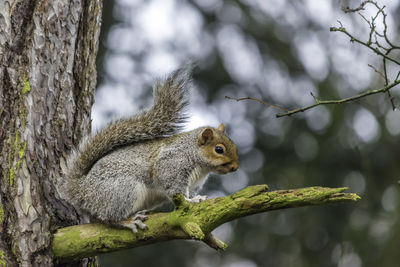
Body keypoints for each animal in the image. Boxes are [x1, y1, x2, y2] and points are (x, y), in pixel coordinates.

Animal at [58, 66, 241, 232]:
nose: (235, 168)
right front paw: (191, 201)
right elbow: (176, 189)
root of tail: (82, 190)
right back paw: (128, 221)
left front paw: (197, 198)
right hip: (123, 189)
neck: (199, 163)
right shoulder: (173, 162)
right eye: (219, 149)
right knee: (110, 217)